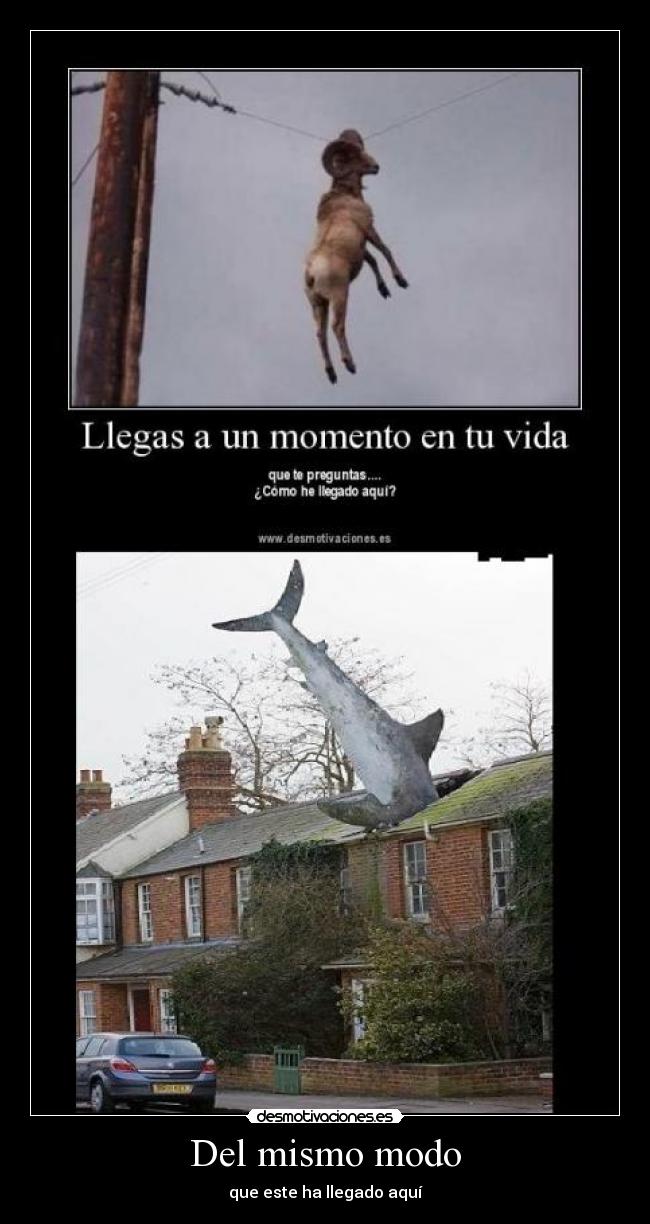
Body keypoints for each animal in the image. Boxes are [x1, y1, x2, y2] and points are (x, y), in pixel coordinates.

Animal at [305, 129, 408, 383]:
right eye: (353, 157)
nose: (376, 166)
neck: (346, 196)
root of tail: (311, 274)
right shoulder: (369, 229)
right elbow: (385, 250)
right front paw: (401, 281)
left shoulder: (361, 247)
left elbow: (372, 260)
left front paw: (384, 290)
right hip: (339, 296)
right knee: (337, 327)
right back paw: (350, 364)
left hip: (317, 305)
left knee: (320, 334)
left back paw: (332, 374)